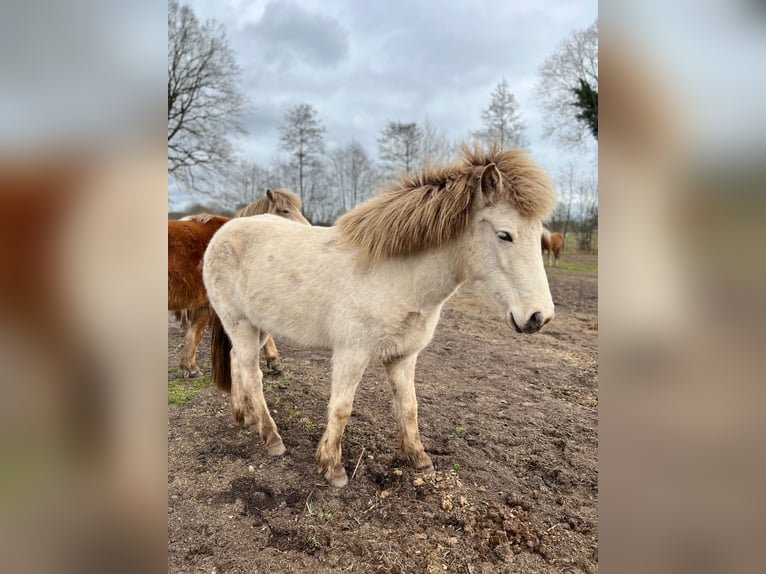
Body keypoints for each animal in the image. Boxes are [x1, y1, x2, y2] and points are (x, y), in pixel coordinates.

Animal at [203, 145, 556, 488]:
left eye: (538, 234)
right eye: (505, 235)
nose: (539, 316)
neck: (395, 276)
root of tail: (224, 231)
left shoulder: (404, 356)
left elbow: (409, 408)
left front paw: (419, 458)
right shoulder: (351, 354)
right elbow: (341, 408)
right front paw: (332, 467)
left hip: (257, 326)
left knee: (236, 361)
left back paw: (243, 416)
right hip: (240, 323)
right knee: (253, 375)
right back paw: (271, 437)